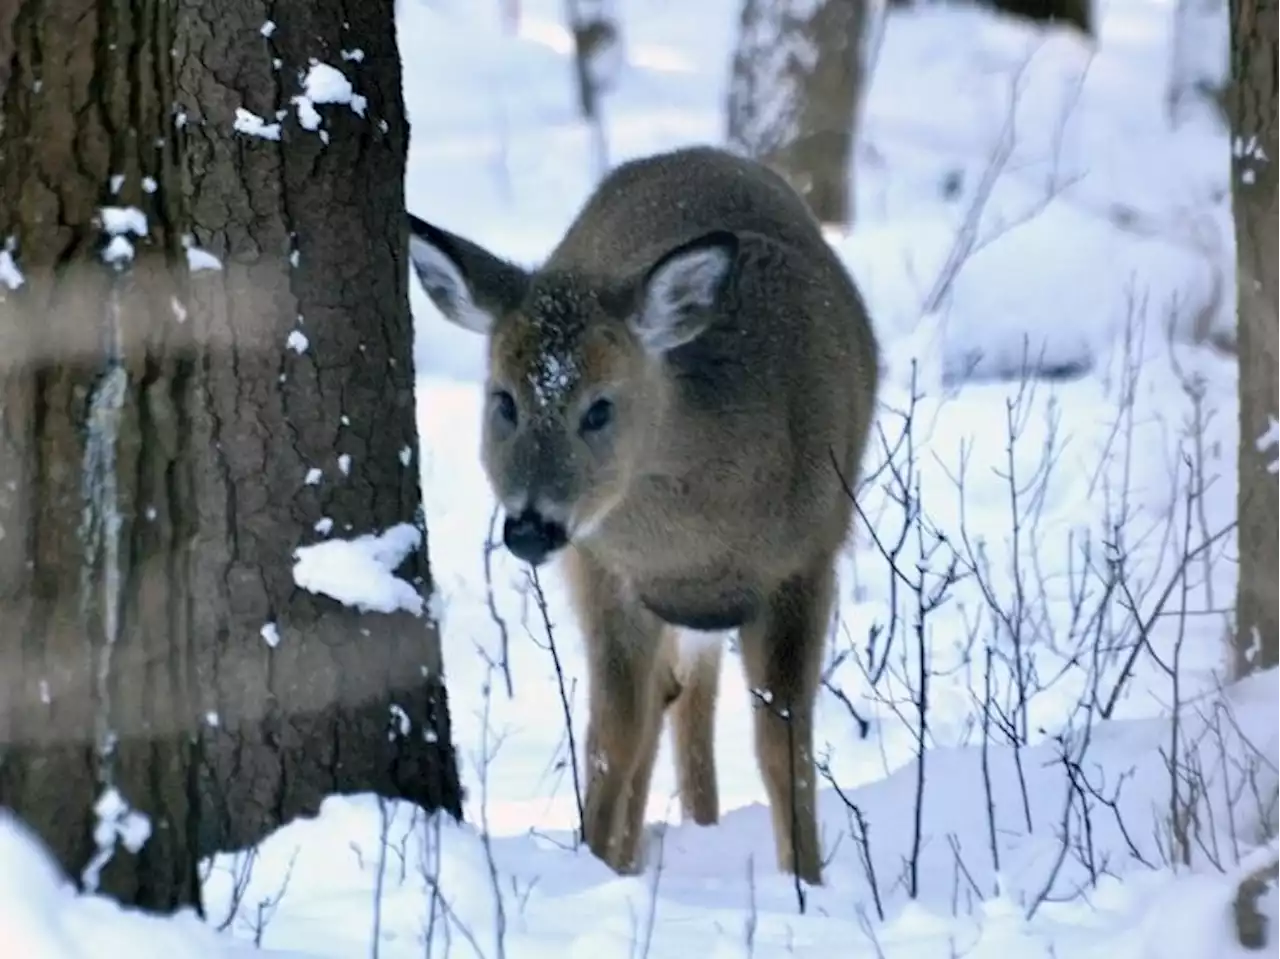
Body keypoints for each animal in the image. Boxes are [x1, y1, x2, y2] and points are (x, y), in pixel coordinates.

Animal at [407, 142, 880, 880]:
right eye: (503, 399)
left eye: (600, 407)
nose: (530, 528)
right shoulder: (605, 570)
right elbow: (615, 737)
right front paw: (598, 864)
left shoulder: (809, 558)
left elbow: (784, 739)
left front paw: (806, 879)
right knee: (664, 706)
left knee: (691, 702)